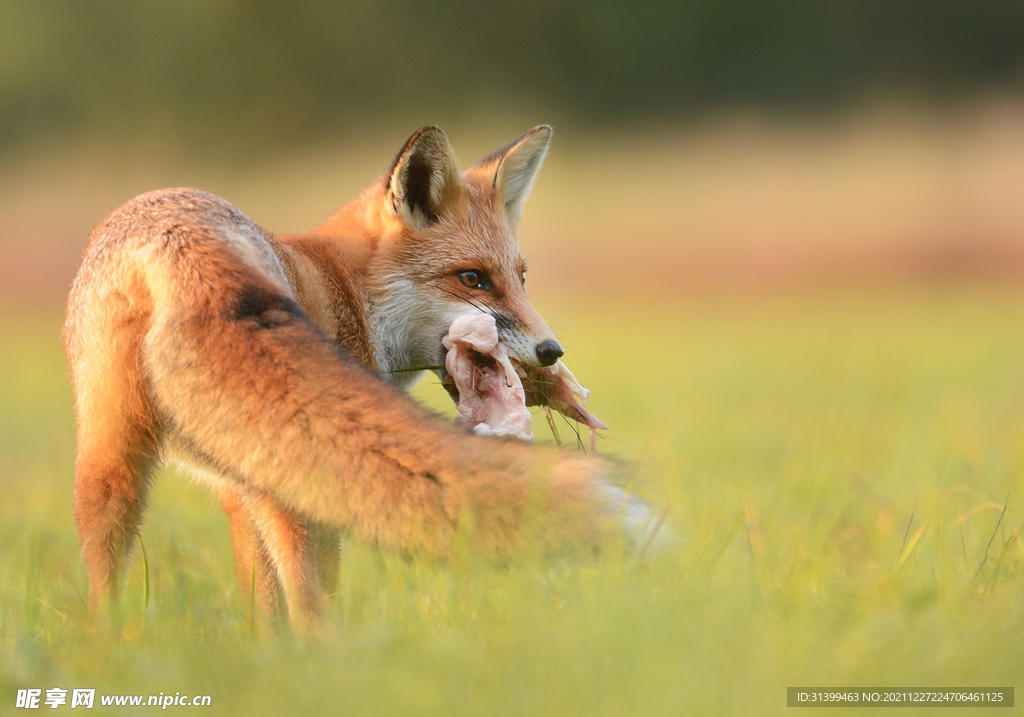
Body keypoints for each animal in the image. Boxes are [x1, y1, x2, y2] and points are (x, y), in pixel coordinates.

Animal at [61, 127, 647, 626]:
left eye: (521, 278)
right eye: (473, 279)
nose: (551, 352)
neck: (350, 292)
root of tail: (178, 240)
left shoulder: (237, 484)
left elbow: (263, 610)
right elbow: (315, 591)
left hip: (109, 466)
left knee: (103, 583)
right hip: (290, 482)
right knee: (311, 605)